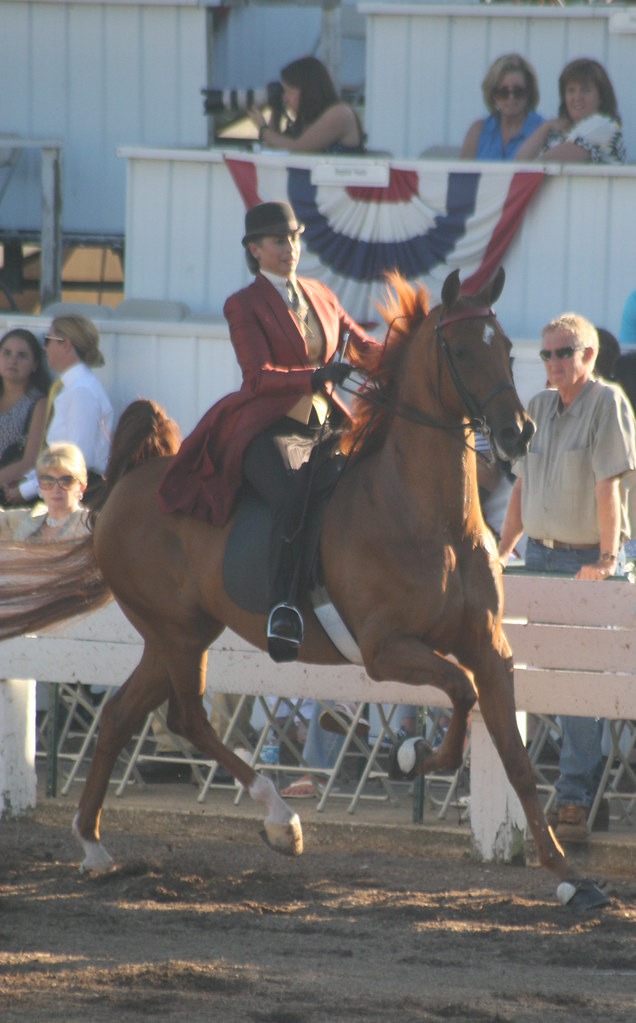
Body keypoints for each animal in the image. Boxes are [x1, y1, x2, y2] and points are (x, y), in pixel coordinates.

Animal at [7, 267, 606, 911]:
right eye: (464, 350)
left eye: (510, 349)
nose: (518, 433)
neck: (430, 517)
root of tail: (129, 483)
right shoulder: (386, 649)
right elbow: (460, 694)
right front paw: (408, 755)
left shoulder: (490, 647)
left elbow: (515, 759)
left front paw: (571, 877)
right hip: (176, 632)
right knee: (187, 717)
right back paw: (279, 821)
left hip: (179, 634)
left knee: (122, 714)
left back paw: (94, 846)